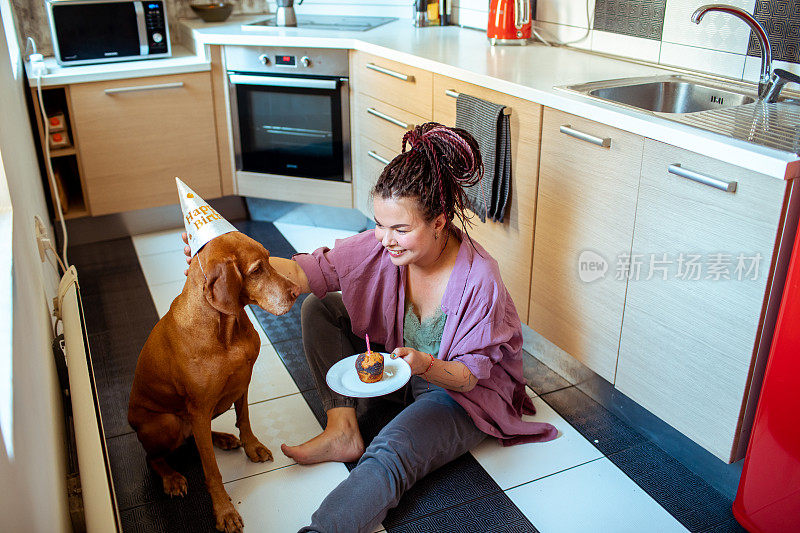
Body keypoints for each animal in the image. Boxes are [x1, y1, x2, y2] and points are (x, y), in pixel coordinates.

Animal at [130, 231, 302, 528]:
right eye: (256, 270)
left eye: (270, 259)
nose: (296, 292)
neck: (225, 328)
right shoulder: (199, 407)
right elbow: (211, 470)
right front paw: (224, 510)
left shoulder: (242, 383)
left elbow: (244, 419)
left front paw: (252, 447)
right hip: (167, 422)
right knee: (154, 457)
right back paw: (171, 477)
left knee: (195, 437)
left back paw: (221, 438)